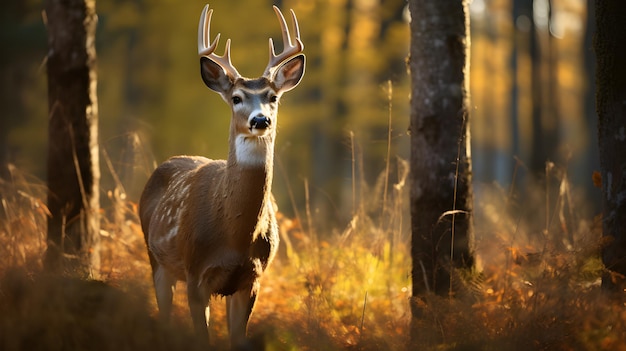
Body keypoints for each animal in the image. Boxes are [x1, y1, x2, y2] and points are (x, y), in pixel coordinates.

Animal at [138, 4, 304, 350]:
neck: (234, 236)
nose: (260, 120)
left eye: (273, 97)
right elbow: (201, 338)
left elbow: (238, 338)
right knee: (163, 314)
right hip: (155, 257)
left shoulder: (251, 280)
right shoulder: (195, 274)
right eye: (237, 98)